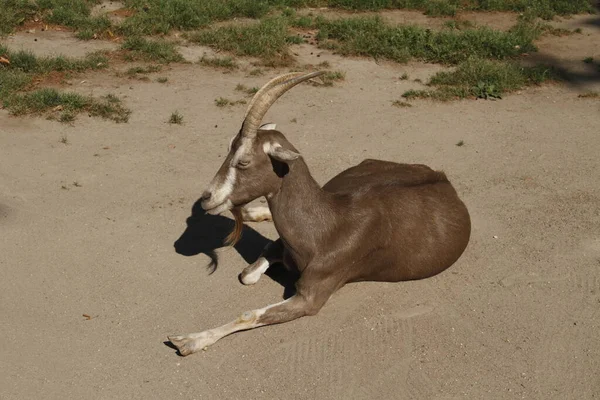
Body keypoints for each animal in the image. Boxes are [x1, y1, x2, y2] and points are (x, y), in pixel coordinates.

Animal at [166, 72, 472, 356]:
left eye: (243, 161)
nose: (207, 198)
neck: (325, 227)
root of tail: (443, 179)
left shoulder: (310, 297)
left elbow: (248, 312)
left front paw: (189, 340)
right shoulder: (283, 247)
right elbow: (248, 274)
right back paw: (253, 211)